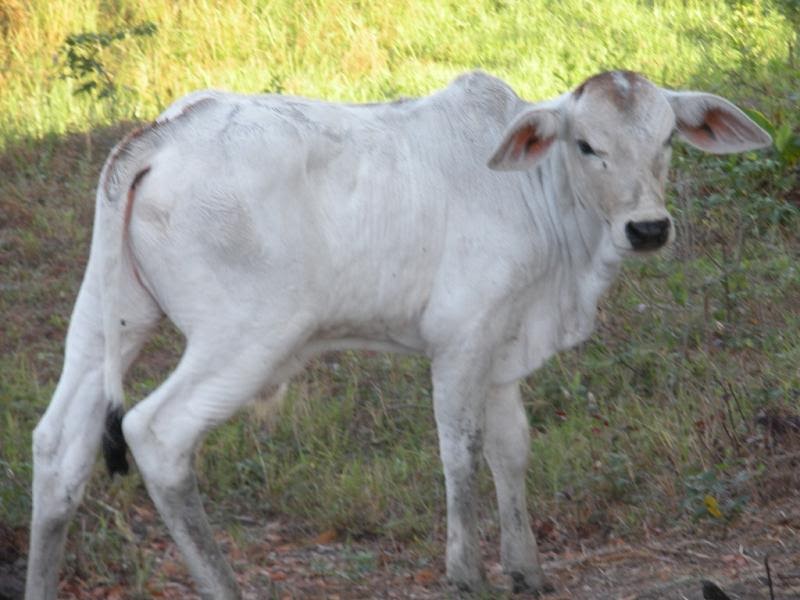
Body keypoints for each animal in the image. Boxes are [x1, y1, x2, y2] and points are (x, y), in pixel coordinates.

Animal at [25, 69, 770, 599]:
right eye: (587, 145)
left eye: (667, 140)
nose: (648, 228)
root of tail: (162, 133)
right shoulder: (461, 339)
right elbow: (460, 453)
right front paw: (466, 574)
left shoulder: (503, 346)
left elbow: (511, 450)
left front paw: (526, 571)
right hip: (245, 339)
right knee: (156, 434)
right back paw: (223, 585)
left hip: (108, 318)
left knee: (58, 445)